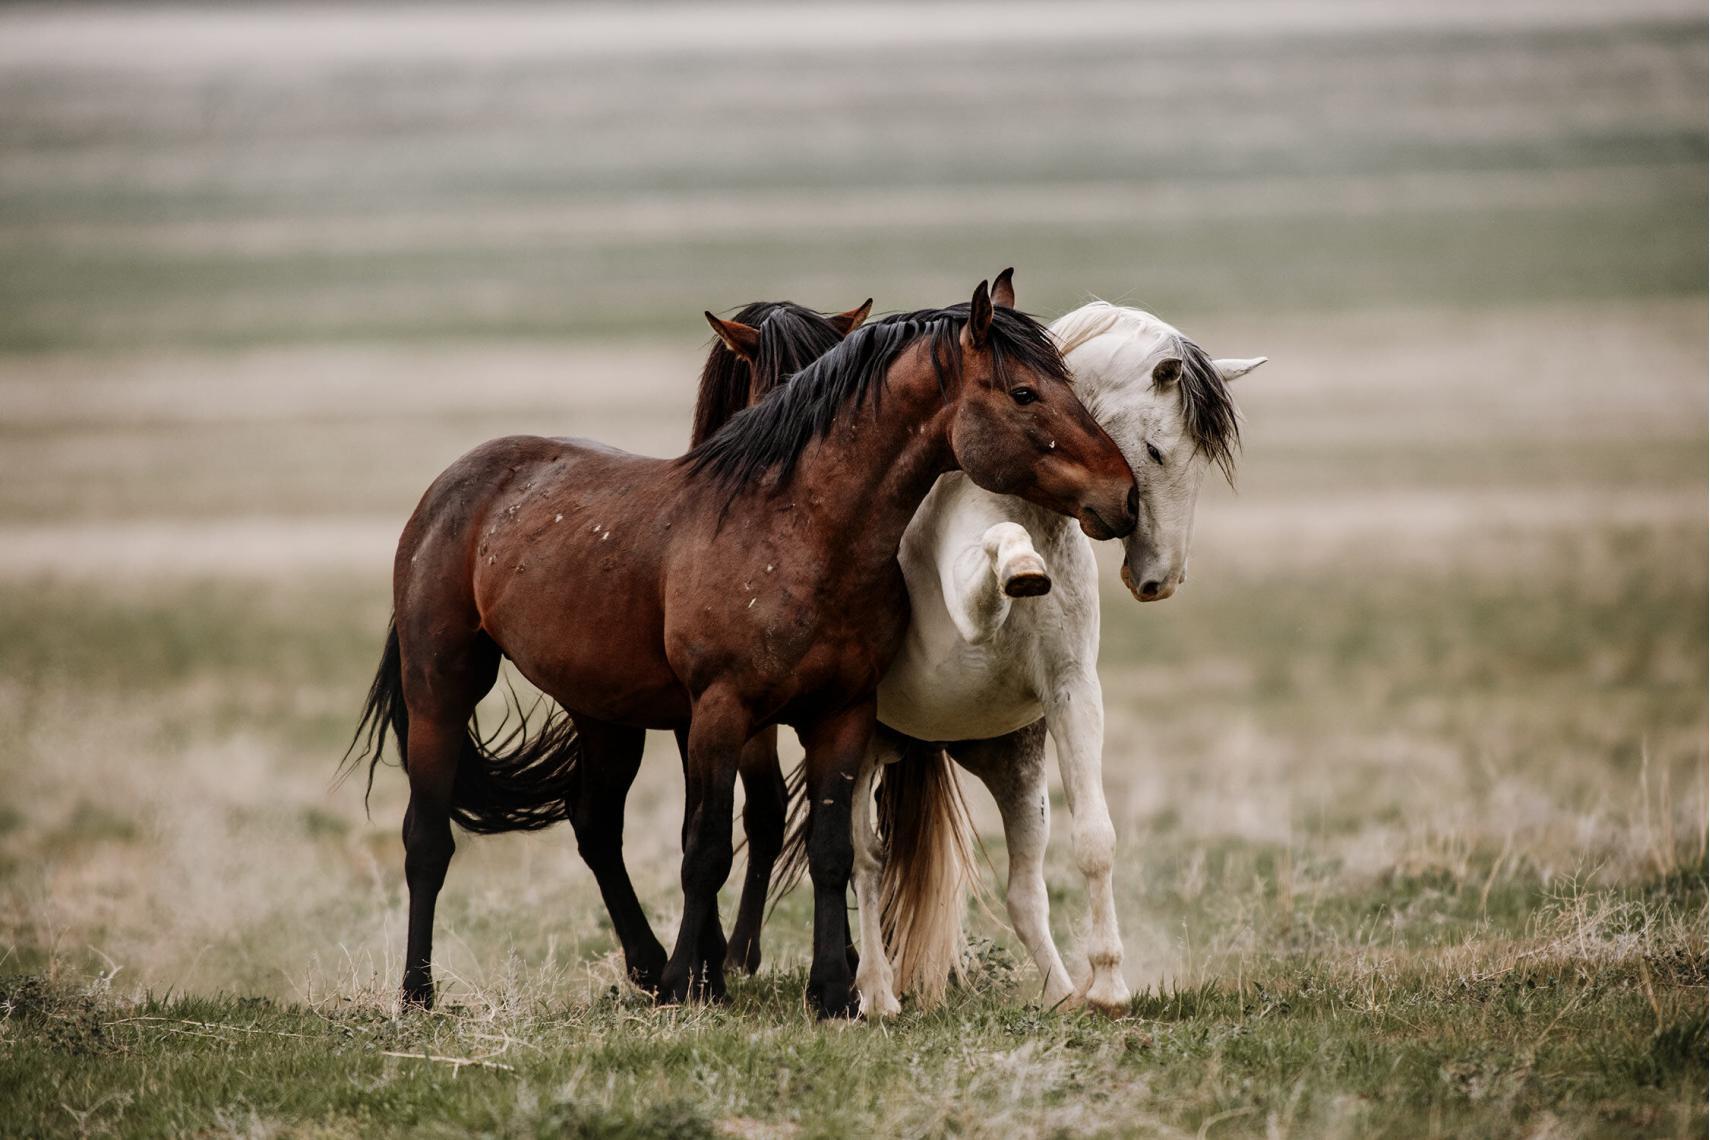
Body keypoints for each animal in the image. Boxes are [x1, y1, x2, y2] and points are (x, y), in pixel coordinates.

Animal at [343, 275, 1140, 1017]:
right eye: (1025, 393)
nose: (1126, 495)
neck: (797, 530)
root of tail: (454, 483)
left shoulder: (841, 716)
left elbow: (829, 850)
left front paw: (832, 991)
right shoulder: (721, 715)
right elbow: (706, 849)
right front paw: (694, 984)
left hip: (605, 714)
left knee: (595, 826)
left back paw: (643, 963)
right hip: (442, 687)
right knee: (428, 839)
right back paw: (419, 992)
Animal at [848, 301, 1266, 1018]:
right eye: (1157, 449)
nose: (1161, 578)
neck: (1025, 502)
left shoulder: (1072, 692)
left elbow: (1095, 840)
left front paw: (1109, 987)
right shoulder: (969, 614)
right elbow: (996, 552)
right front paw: (1019, 564)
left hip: (1012, 761)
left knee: (1022, 891)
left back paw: (1063, 993)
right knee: (864, 862)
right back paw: (876, 995)